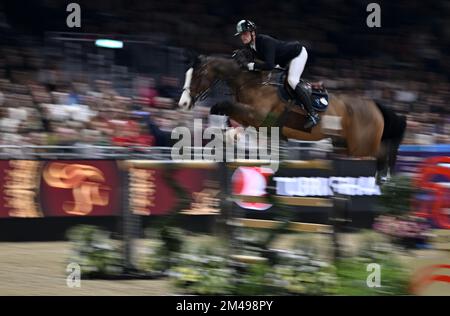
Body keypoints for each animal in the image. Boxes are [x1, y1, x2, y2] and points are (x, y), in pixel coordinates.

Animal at [177, 55, 408, 180]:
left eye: (197, 75)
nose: (183, 103)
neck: (250, 82)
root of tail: (375, 105)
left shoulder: (259, 116)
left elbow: (221, 106)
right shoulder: (249, 118)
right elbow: (227, 115)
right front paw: (230, 136)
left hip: (362, 145)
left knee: (382, 153)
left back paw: (385, 177)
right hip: (345, 145)